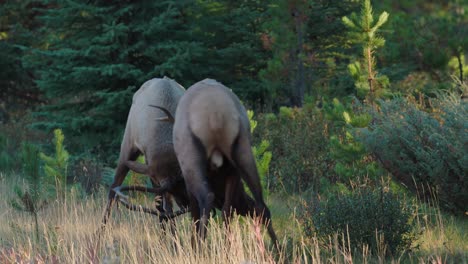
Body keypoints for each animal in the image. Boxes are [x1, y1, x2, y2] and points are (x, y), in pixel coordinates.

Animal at [103, 77, 189, 226]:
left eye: (185, 184)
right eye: (174, 190)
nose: (187, 204)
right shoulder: (154, 173)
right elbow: (164, 207)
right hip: (127, 146)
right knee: (112, 190)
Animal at [155, 79, 278, 245]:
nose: (246, 205)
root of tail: (216, 114)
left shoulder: (188, 182)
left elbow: (195, 215)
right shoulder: (232, 173)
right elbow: (228, 210)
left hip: (192, 159)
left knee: (206, 199)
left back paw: (199, 246)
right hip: (242, 150)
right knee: (259, 204)